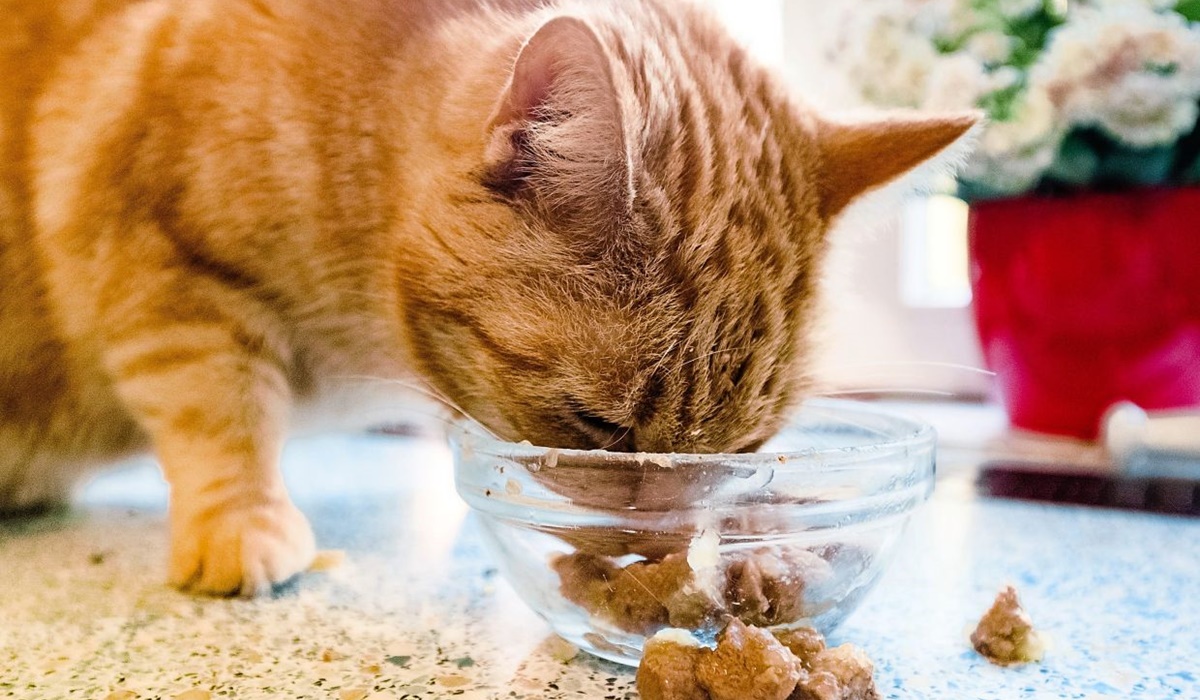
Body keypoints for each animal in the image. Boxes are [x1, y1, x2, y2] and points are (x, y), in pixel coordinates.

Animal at [0, 0, 974, 597]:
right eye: (600, 427)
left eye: (746, 448)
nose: (656, 548)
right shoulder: (150, 248)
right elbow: (220, 409)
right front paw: (242, 524)